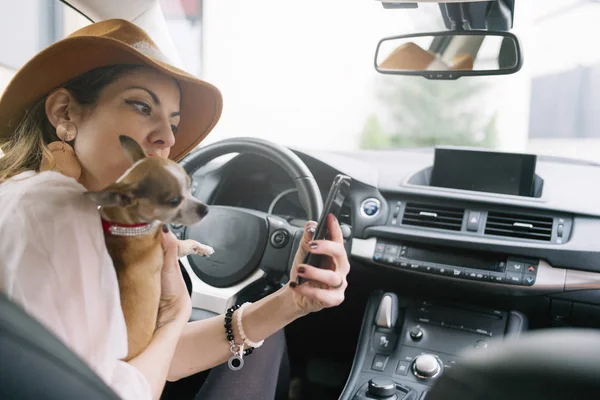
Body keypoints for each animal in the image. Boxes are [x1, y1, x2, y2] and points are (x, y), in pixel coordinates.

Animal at [86, 136, 213, 360]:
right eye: (174, 201)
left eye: (190, 187)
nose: (205, 209)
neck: (125, 227)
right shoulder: (172, 248)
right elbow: (188, 243)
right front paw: (204, 248)